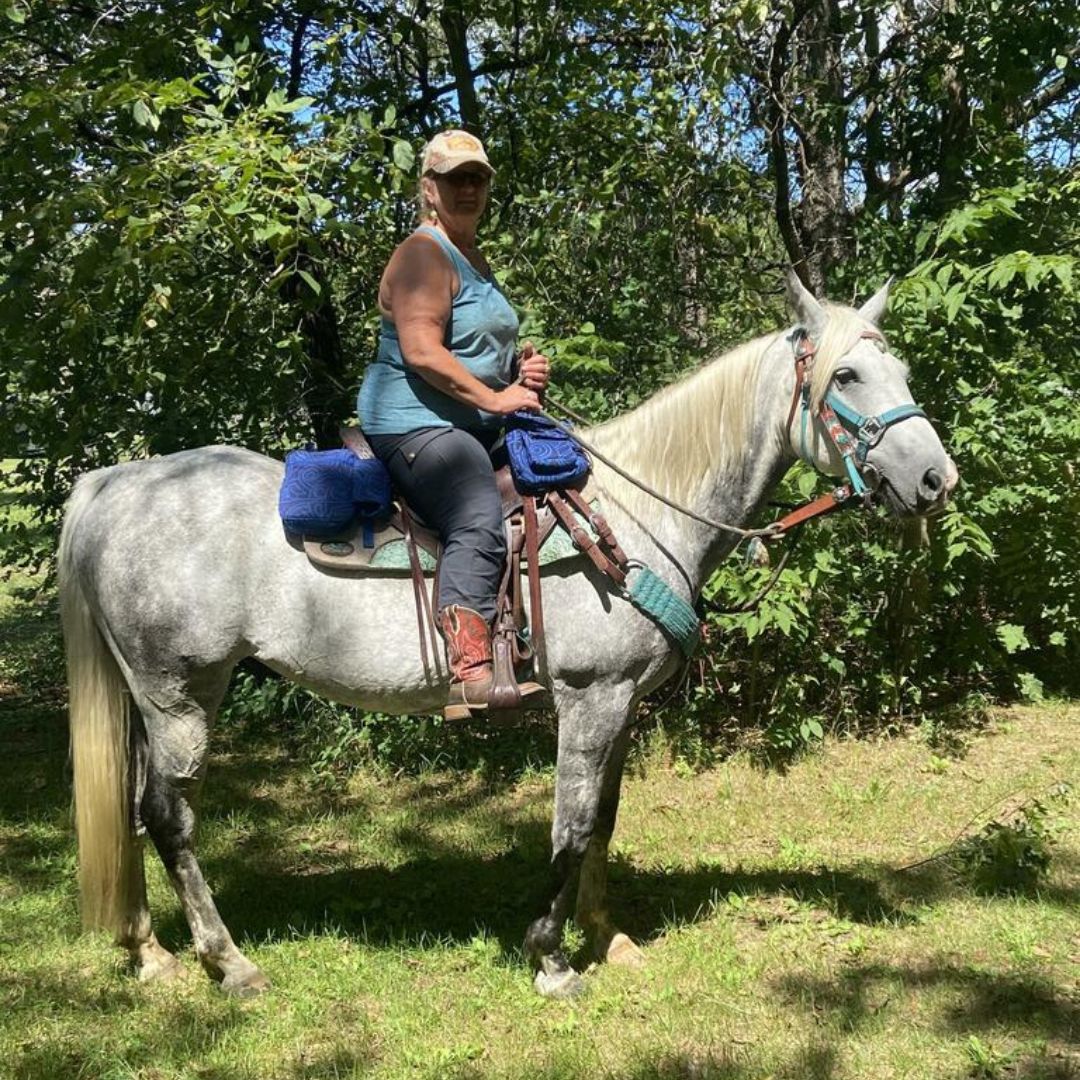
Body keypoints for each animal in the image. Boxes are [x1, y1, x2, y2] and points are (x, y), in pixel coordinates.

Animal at [59, 273, 957, 999]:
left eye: (904, 373)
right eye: (846, 375)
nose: (936, 479)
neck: (639, 511)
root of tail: (119, 483)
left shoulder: (622, 709)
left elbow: (603, 821)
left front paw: (608, 937)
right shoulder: (589, 702)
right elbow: (569, 826)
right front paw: (552, 959)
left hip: (151, 700)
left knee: (138, 814)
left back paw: (150, 953)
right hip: (183, 691)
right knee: (170, 816)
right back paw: (229, 963)